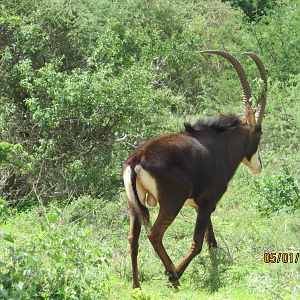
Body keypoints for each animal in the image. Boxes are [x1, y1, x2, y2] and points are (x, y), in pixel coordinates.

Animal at [122, 51, 268, 288]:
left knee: (133, 239)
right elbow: (198, 243)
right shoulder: (208, 202)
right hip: (172, 202)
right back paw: (173, 275)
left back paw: (136, 285)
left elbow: (211, 241)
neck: (220, 143)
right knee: (154, 235)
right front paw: (175, 275)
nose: (258, 165)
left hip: (133, 205)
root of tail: (137, 158)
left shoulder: (203, 205)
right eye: (259, 132)